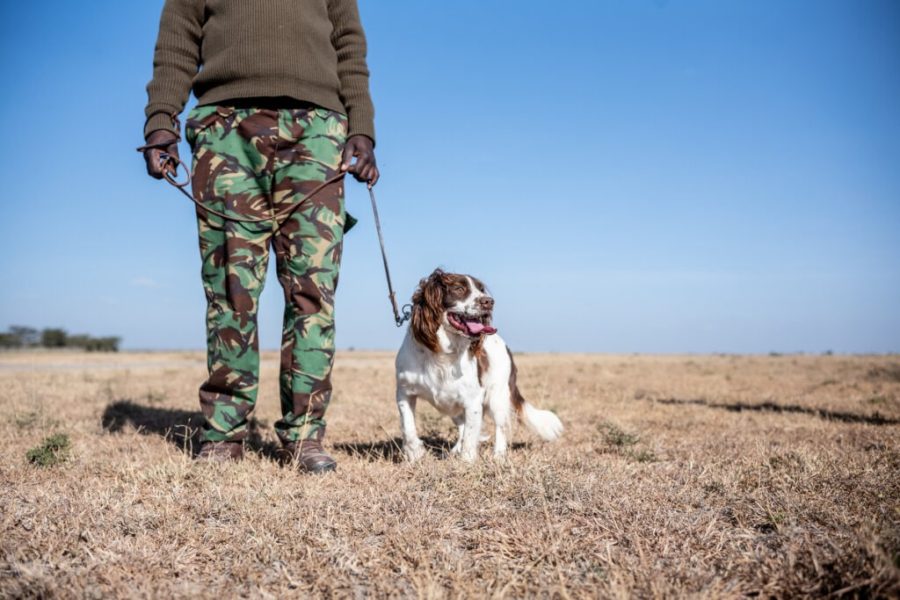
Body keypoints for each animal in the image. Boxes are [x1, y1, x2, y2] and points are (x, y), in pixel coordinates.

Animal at [394, 270, 564, 462]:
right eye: (459, 289)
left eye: (481, 289)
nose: (489, 301)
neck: (442, 352)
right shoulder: (404, 392)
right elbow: (407, 427)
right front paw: (414, 454)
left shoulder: (473, 399)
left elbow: (471, 434)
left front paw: (466, 462)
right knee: (462, 425)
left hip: (497, 396)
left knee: (500, 427)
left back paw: (498, 456)